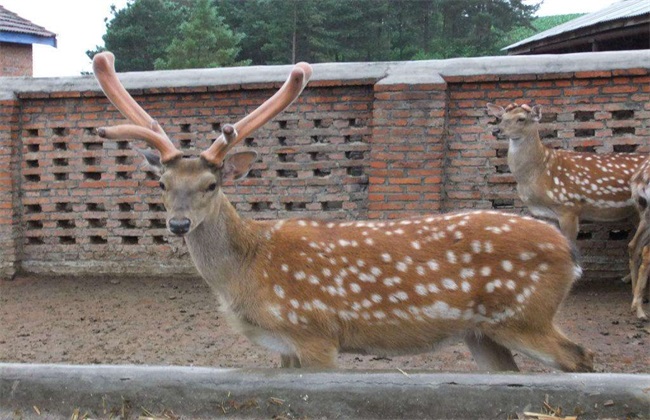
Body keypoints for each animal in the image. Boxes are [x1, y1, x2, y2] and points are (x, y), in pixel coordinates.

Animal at [91, 51, 592, 370]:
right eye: (162, 183)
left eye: (211, 185)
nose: (178, 224)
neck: (248, 271)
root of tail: (570, 255)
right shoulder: (285, 346)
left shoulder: (315, 333)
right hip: (483, 333)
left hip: (524, 316)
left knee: (580, 357)